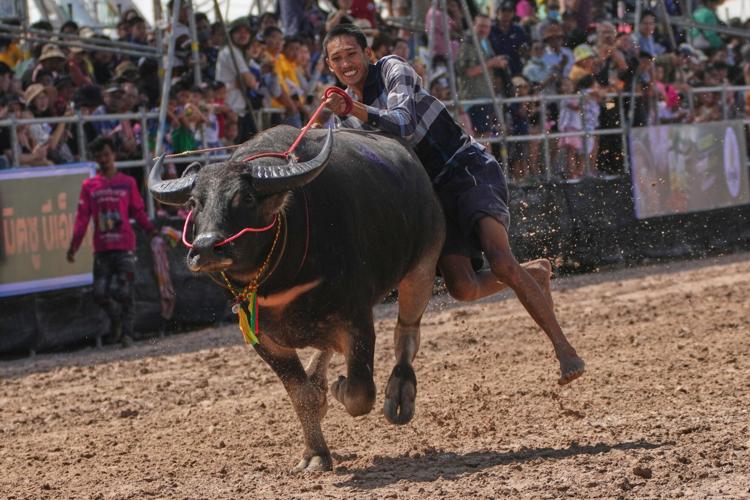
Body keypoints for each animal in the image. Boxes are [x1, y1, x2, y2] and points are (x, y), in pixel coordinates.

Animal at [149, 126, 445, 471]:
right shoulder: (262, 336)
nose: (206, 248)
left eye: (246, 197)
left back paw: (399, 392)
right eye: (195, 203)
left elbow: (360, 392)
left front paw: (340, 388)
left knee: (407, 332)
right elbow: (302, 396)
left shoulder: (357, 319)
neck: (278, 277)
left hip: (422, 268)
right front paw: (316, 452)